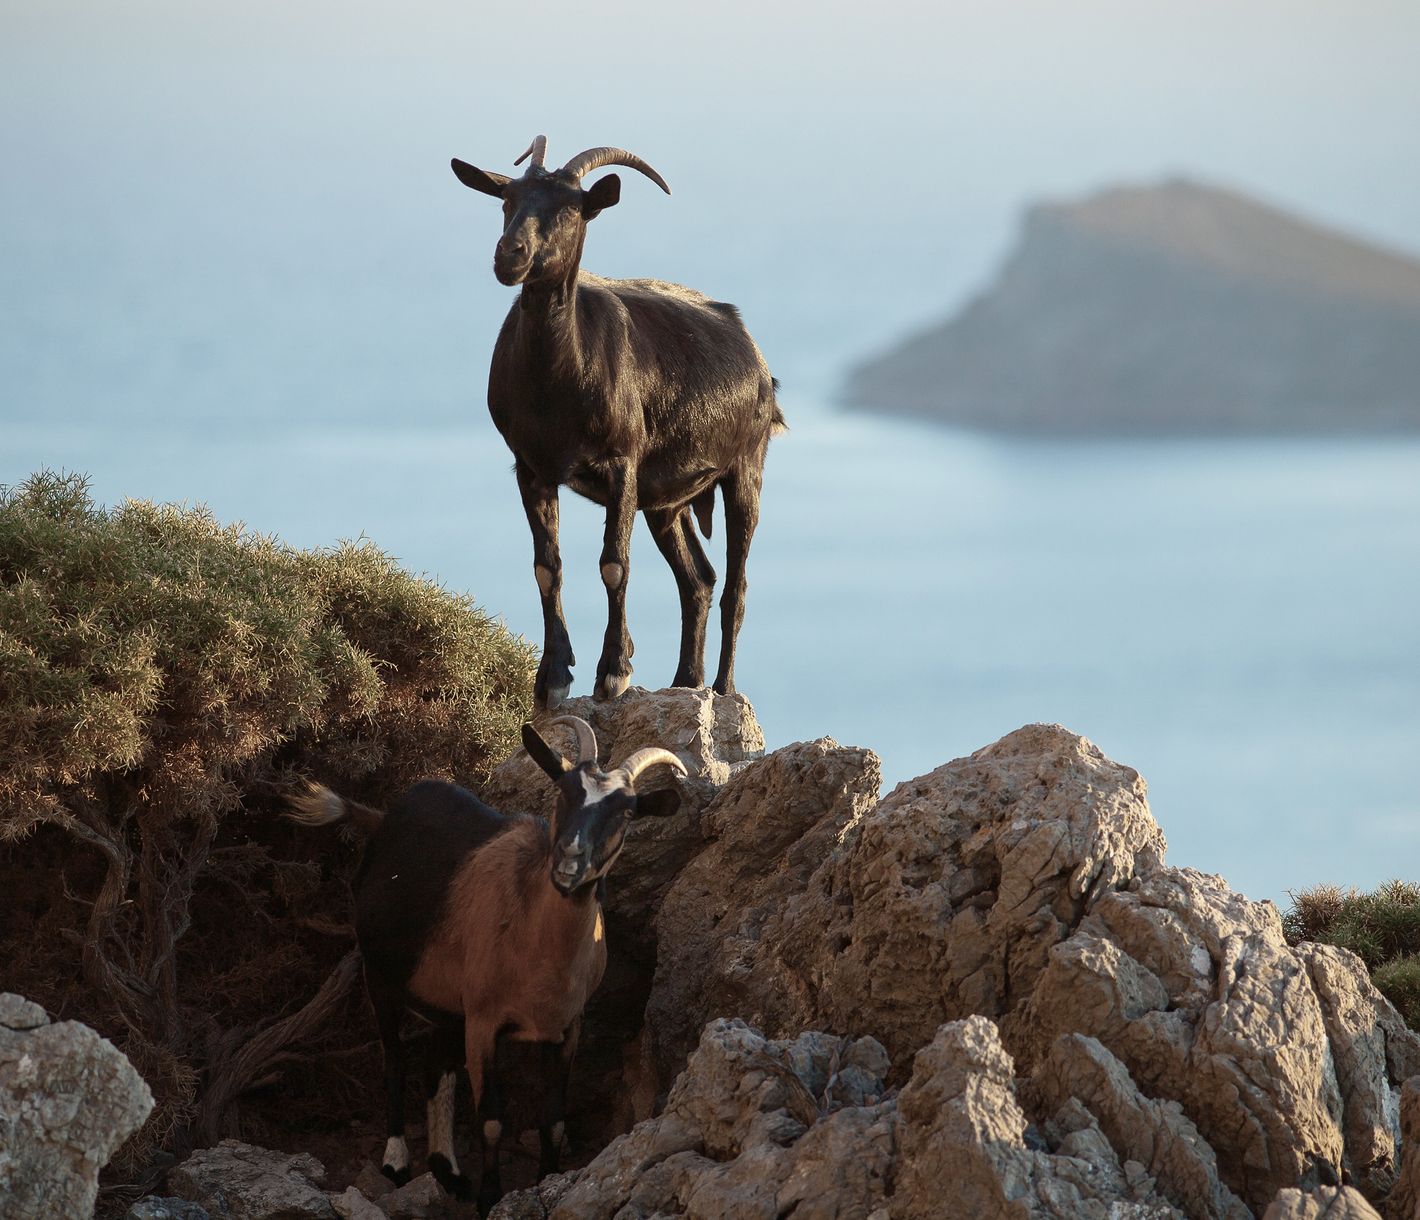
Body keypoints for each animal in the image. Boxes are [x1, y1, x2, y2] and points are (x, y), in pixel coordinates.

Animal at [286, 716, 685, 1213]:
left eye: (627, 812)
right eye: (563, 791)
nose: (569, 860)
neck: (538, 948)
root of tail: (383, 819)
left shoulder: (567, 1028)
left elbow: (553, 1121)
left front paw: (547, 1179)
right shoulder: (483, 1022)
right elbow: (491, 1120)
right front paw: (490, 1197)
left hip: (444, 1002)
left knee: (435, 1067)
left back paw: (449, 1171)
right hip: (379, 975)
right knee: (396, 1059)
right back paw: (397, 1163)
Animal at [451, 135, 784, 709]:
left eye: (570, 207)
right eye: (506, 200)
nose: (510, 255)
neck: (557, 385)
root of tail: (755, 355)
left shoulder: (622, 462)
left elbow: (614, 564)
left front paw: (613, 672)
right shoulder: (531, 467)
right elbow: (547, 568)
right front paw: (553, 677)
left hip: (745, 467)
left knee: (736, 586)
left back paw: (722, 690)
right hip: (667, 501)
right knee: (698, 579)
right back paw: (685, 681)